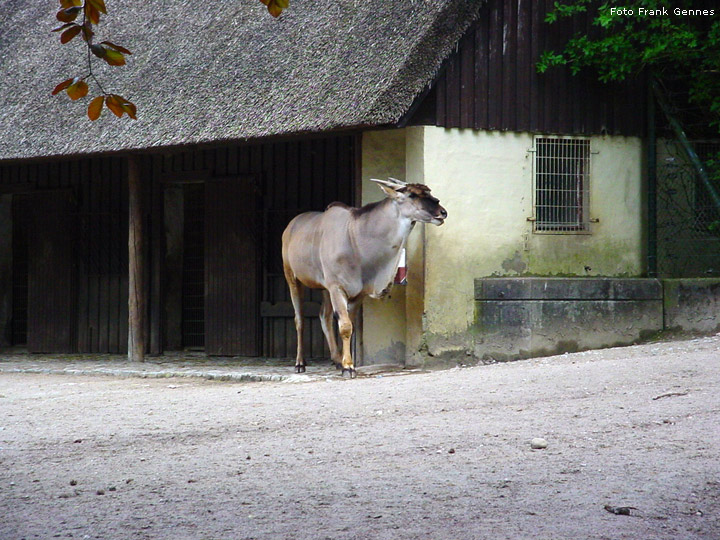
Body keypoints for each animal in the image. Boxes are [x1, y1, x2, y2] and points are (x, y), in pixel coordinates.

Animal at [280, 177, 444, 376]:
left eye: (429, 192)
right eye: (412, 194)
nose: (442, 212)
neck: (354, 237)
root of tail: (289, 227)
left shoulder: (357, 293)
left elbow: (349, 324)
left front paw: (345, 363)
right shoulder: (337, 288)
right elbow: (344, 326)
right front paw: (348, 367)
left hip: (325, 289)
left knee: (324, 316)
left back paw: (336, 359)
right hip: (292, 278)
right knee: (300, 319)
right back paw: (300, 363)